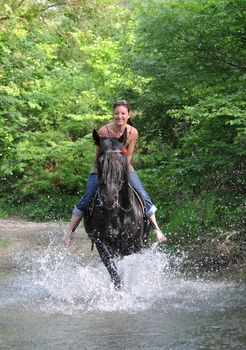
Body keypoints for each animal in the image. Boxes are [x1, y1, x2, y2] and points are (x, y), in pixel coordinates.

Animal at [84, 129, 150, 290]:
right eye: (100, 161)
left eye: (121, 160)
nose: (109, 197)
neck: (116, 214)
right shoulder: (102, 243)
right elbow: (113, 270)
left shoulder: (136, 245)